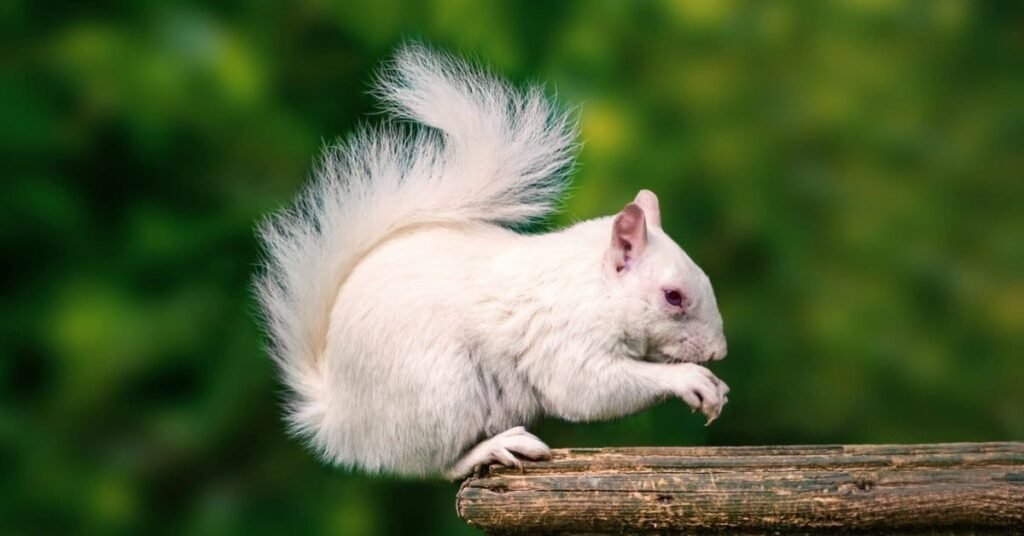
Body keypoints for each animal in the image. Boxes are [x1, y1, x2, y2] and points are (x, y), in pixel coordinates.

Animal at [255, 44, 730, 480]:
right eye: (672, 297)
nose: (718, 352)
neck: (592, 286)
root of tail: (341, 422)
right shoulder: (563, 339)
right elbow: (587, 388)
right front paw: (690, 380)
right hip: (442, 393)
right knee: (440, 465)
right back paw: (495, 448)